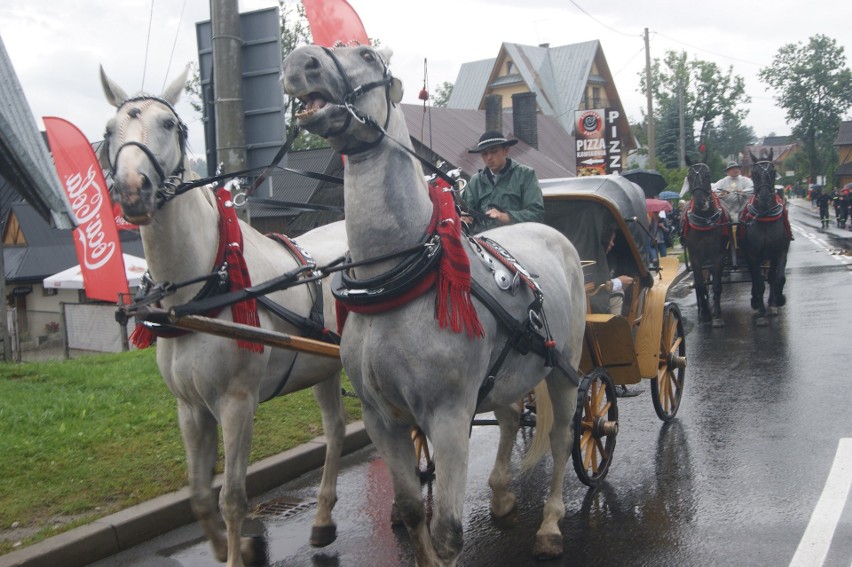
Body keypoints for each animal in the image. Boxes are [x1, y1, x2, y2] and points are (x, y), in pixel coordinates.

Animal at [100, 66, 350, 567]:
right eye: (108, 131)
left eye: (169, 124)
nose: (134, 190)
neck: (200, 295)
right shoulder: (191, 408)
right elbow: (198, 495)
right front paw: (232, 546)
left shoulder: (237, 404)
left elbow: (231, 497)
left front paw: (237, 550)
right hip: (324, 367)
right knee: (335, 432)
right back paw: (322, 519)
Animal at [282, 45, 588, 567]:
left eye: (366, 53)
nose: (301, 61)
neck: (397, 282)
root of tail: (554, 234)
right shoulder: (381, 418)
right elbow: (410, 510)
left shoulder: (447, 417)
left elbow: (447, 531)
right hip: (508, 376)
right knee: (510, 417)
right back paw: (502, 495)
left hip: (563, 369)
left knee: (563, 437)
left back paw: (550, 524)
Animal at [684, 160, 728, 328]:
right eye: (689, 177)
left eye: (707, 175)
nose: (700, 202)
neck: (705, 221)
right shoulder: (695, 257)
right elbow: (700, 285)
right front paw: (705, 313)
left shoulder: (718, 256)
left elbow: (716, 285)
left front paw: (717, 315)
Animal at [740, 151, 792, 326]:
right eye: (754, 174)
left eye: (773, 171)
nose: (763, 198)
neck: (765, 217)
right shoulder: (752, 255)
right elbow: (759, 283)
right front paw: (761, 310)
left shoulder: (780, 252)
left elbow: (778, 278)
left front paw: (777, 301)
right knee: (755, 280)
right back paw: (756, 300)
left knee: (770, 277)